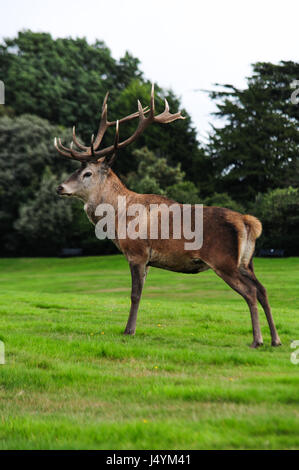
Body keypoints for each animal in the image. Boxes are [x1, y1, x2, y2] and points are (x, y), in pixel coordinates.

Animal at [55, 86, 282, 346]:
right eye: (77, 169)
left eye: (88, 173)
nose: (59, 187)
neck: (118, 220)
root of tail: (248, 222)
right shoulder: (148, 260)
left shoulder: (137, 252)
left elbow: (135, 294)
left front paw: (128, 330)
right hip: (246, 261)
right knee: (263, 290)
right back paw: (275, 340)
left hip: (223, 260)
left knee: (251, 292)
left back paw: (258, 340)